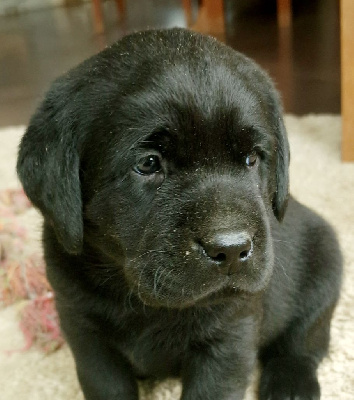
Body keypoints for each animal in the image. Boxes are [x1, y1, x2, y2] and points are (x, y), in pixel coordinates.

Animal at [17, 28, 342, 400]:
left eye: (252, 158)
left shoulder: (229, 332)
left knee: (306, 339)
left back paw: (290, 383)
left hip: (324, 269)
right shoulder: (83, 329)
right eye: (148, 164)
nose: (231, 248)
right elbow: (105, 384)